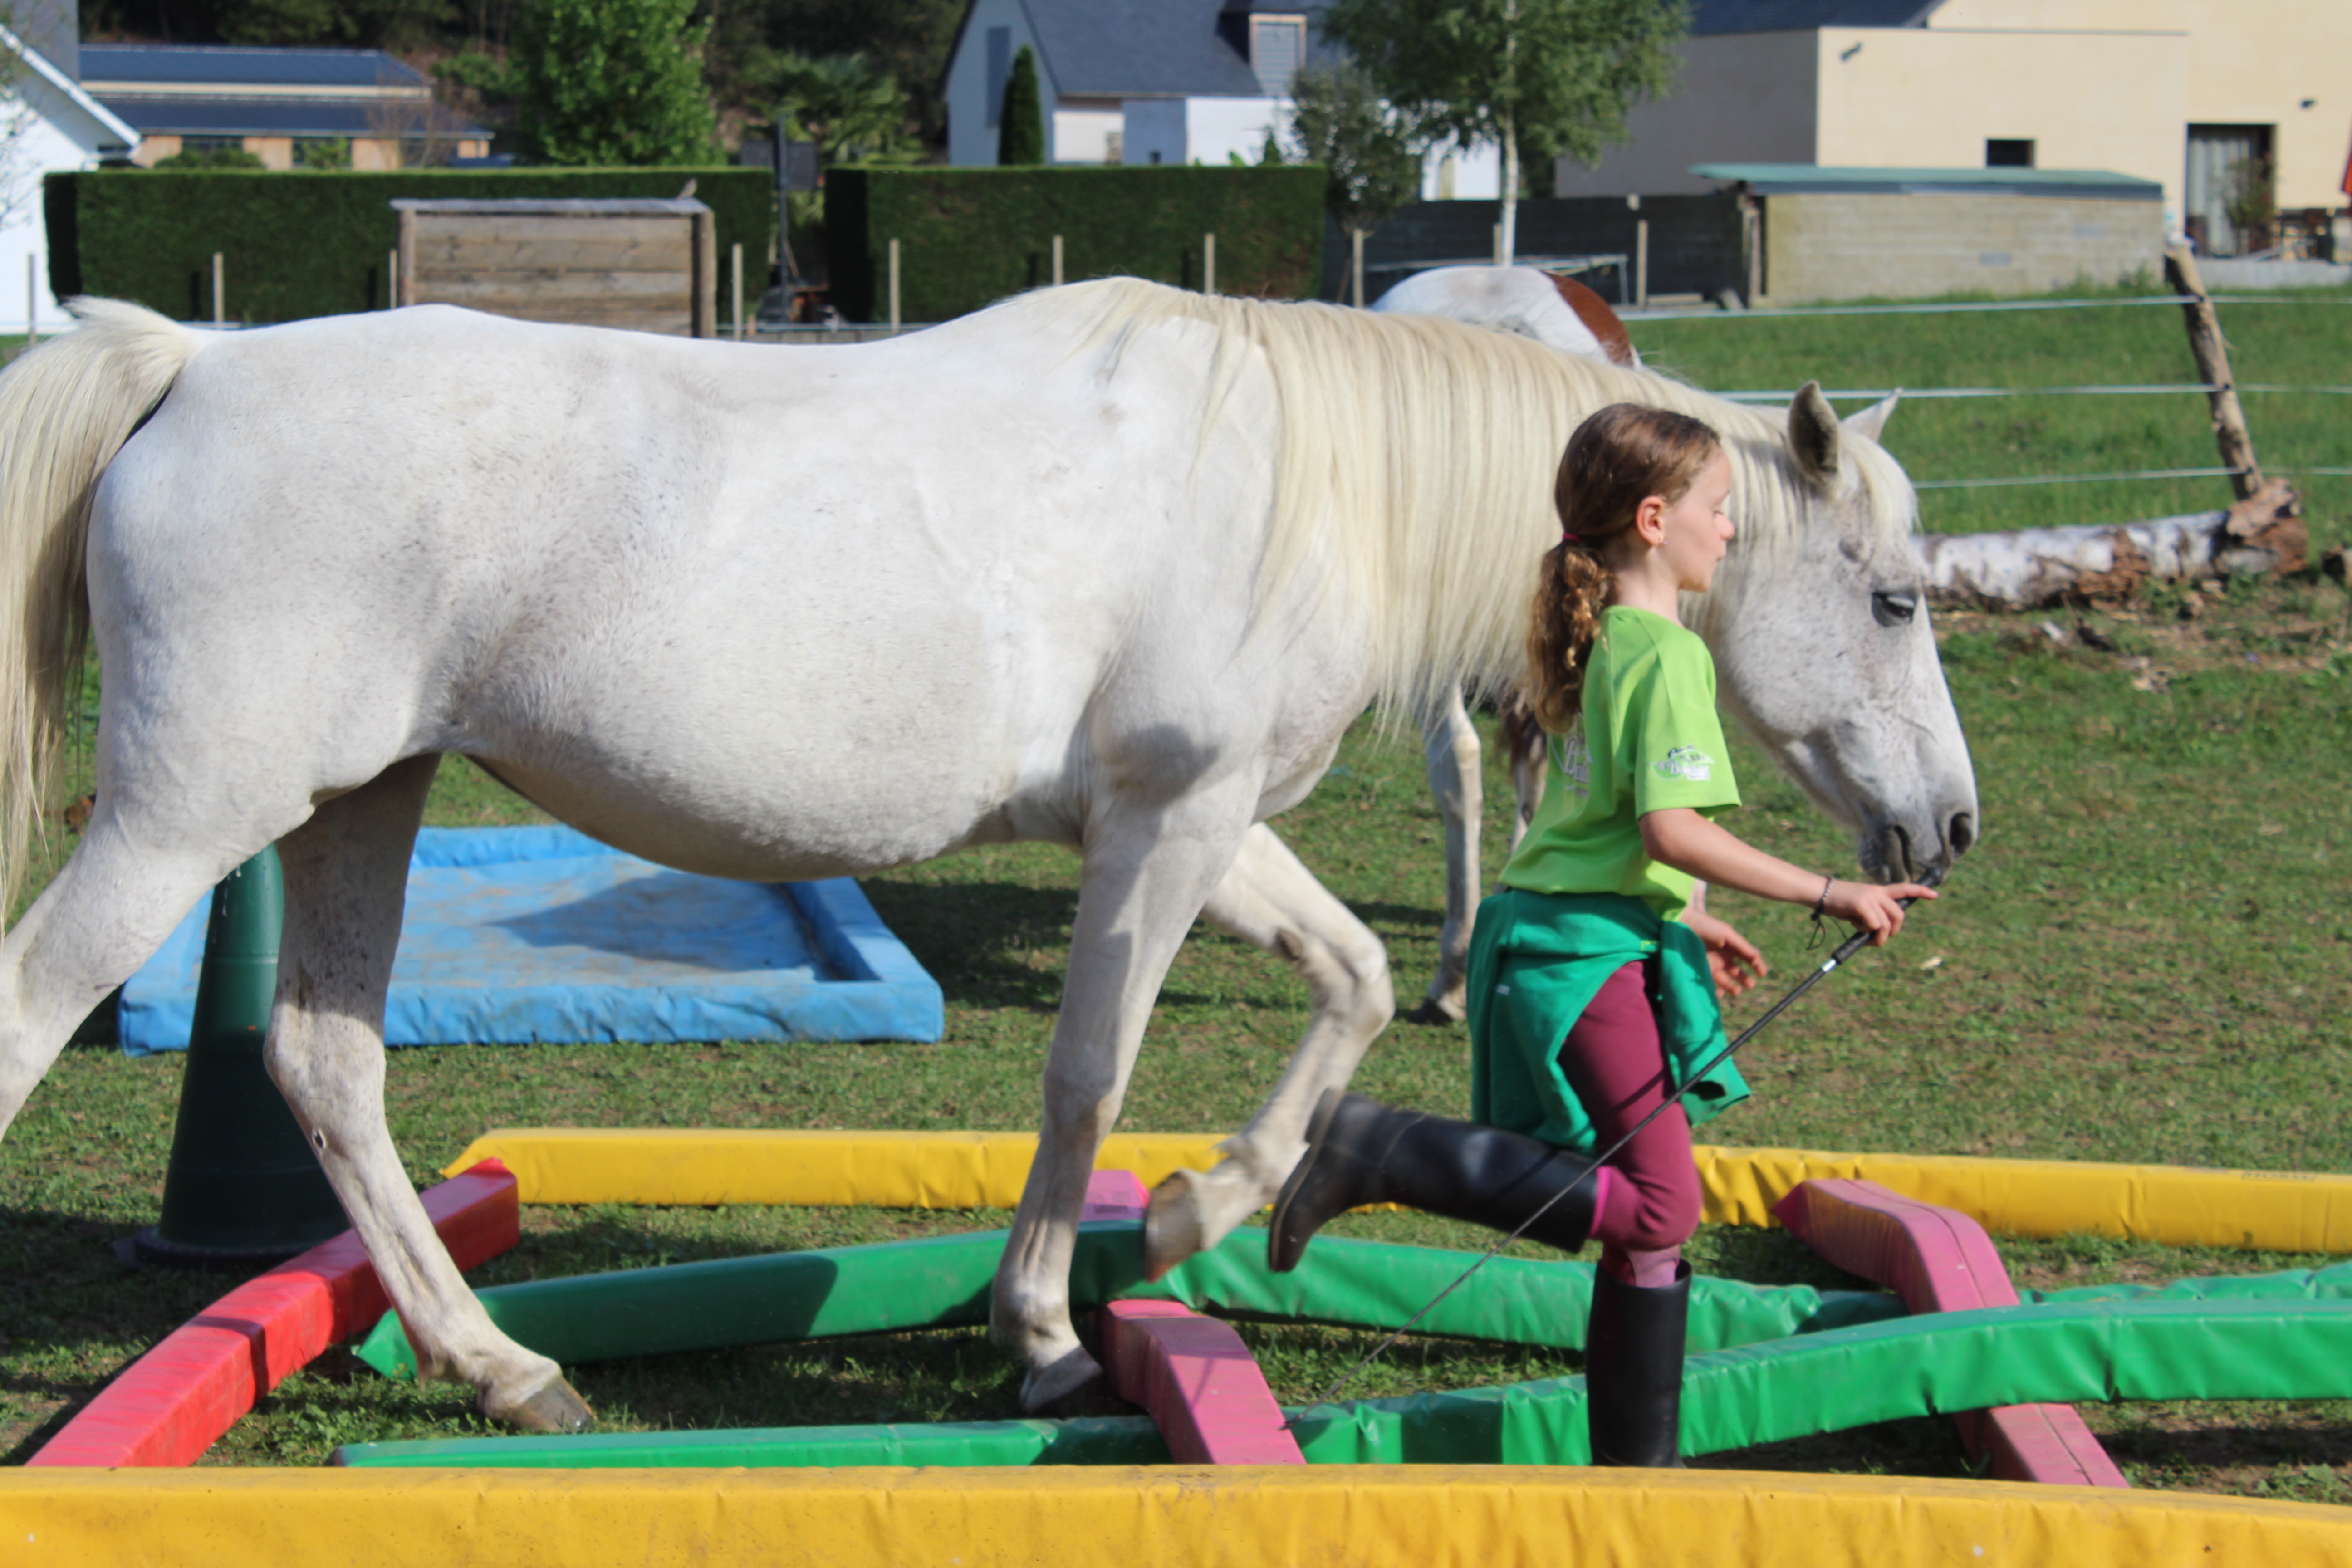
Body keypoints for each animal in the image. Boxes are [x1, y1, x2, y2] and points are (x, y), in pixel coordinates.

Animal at [0, 278, 1975, 1428]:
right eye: (1891, 597)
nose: (1947, 830)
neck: (1301, 473)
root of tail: (197, 368)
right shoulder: (1168, 829)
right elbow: (1090, 1071)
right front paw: (1050, 1323)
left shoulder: (1201, 824)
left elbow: (1342, 984)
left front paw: (1199, 1213)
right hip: (194, 814)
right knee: (37, 1014)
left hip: (364, 797)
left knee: (326, 1064)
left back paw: (508, 1369)